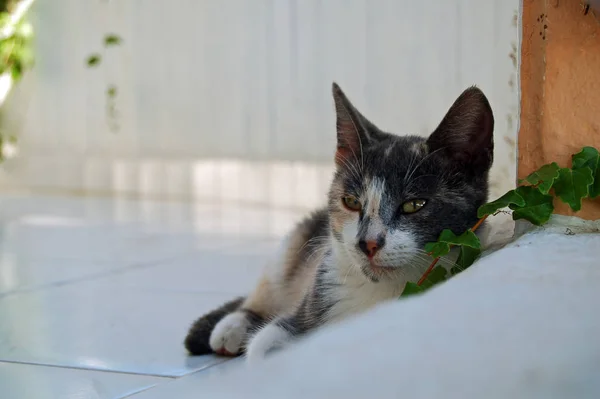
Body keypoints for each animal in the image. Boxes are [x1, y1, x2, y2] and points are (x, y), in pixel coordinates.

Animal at [185, 83, 494, 364]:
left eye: (414, 205)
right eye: (351, 202)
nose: (367, 243)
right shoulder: (305, 304)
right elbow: (267, 345)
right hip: (295, 244)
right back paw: (231, 327)